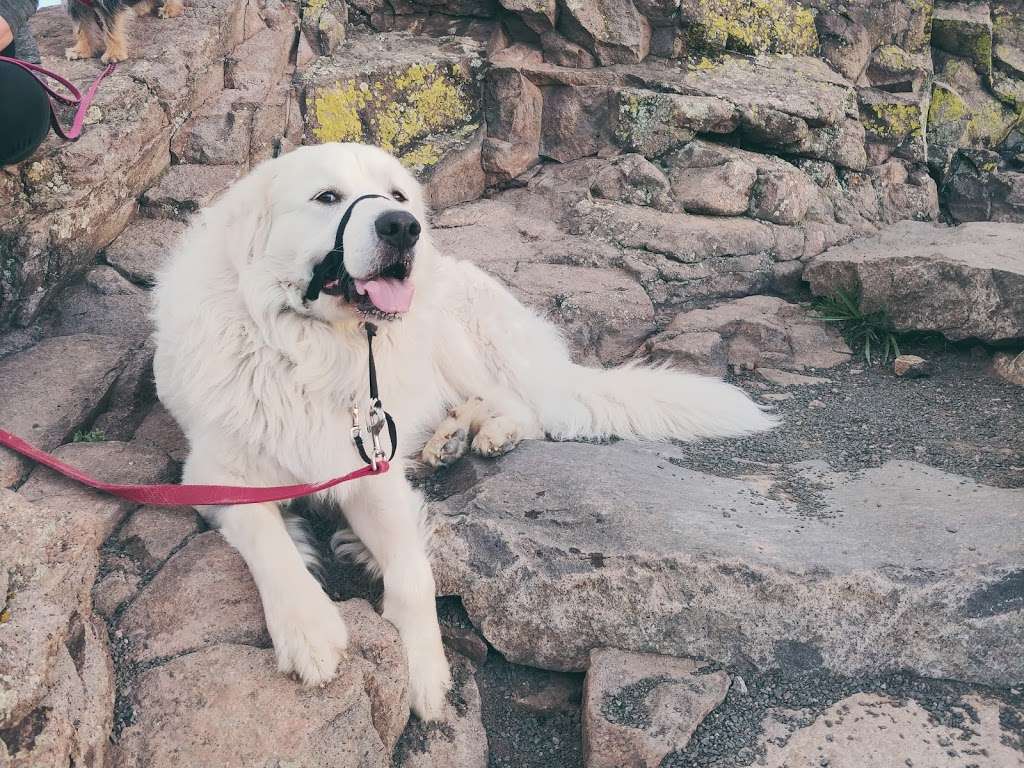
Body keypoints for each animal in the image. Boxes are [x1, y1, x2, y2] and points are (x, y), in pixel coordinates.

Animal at [151, 140, 774, 720]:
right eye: (326, 197)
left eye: (397, 195)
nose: (402, 227)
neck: (314, 349)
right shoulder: (216, 473)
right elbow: (271, 542)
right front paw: (310, 629)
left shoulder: (372, 466)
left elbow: (412, 572)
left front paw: (425, 667)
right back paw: (446, 441)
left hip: (457, 336)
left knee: (520, 404)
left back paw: (484, 436)